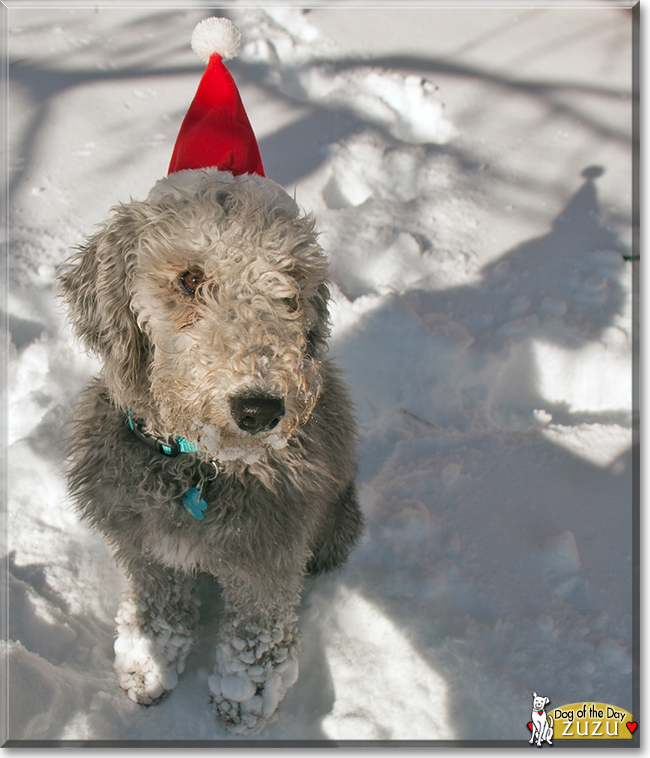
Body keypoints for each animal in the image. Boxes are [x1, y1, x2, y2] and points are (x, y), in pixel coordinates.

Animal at [58, 17, 362, 740]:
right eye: (190, 278)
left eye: (289, 287)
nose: (259, 409)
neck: (194, 467)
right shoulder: (143, 544)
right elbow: (159, 606)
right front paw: (148, 665)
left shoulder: (268, 554)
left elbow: (256, 633)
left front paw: (244, 700)